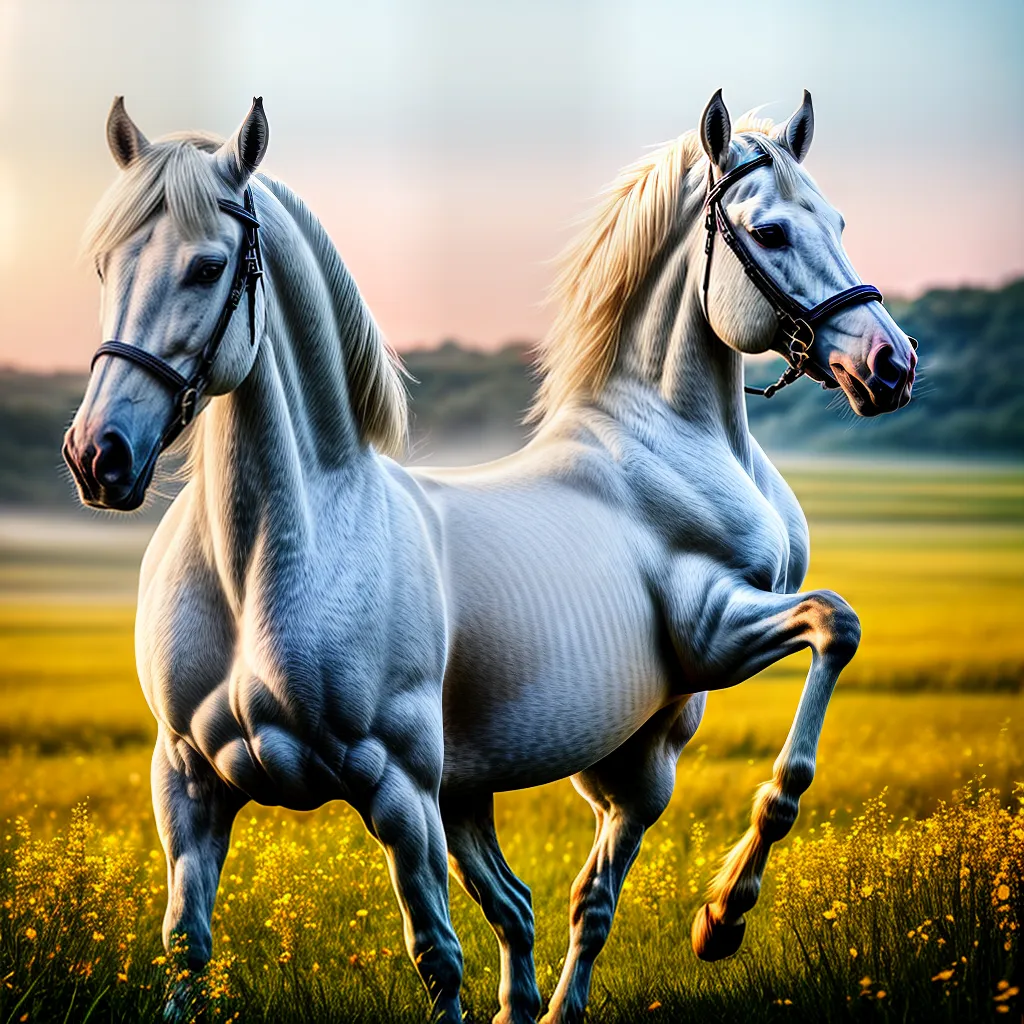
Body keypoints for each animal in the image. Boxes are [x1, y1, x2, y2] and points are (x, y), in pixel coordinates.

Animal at [63, 98, 467, 1021]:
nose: (97, 456)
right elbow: (185, 944)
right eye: (104, 265)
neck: (261, 569)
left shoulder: (404, 796)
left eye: (209, 267)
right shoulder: (185, 781)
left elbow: (437, 954)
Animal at [406, 88, 916, 1024]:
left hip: (468, 788)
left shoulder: (652, 747)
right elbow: (835, 626)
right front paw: (723, 917)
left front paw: (711, 919)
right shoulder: (716, 634)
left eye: (837, 220)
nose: (889, 365)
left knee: (519, 896)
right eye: (772, 231)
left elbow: (596, 893)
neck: (682, 444)